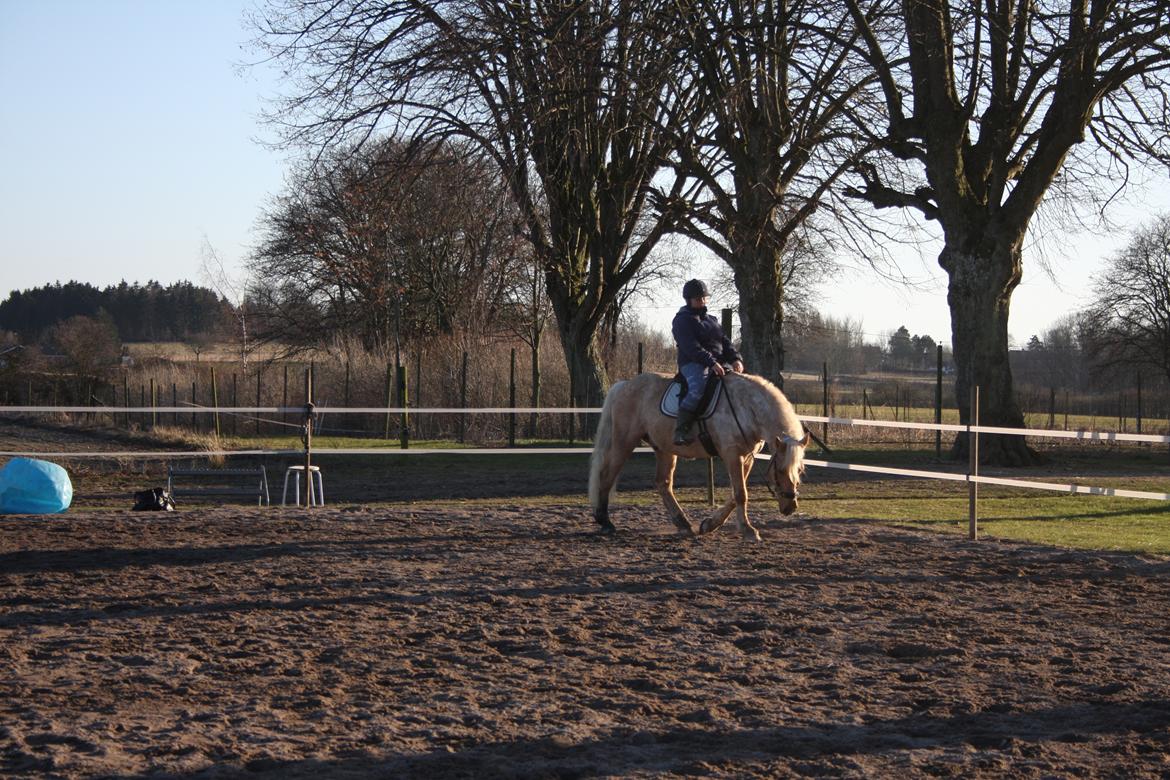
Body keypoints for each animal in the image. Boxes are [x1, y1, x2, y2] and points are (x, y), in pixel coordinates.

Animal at [589, 374, 809, 542]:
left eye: (799, 470)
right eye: (780, 470)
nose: (790, 507)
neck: (747, 408)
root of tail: (624, 385)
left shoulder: (745, 457)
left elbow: (735, 494)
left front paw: (709, 525)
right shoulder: (732, 454)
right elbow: (741, 494)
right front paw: (748, 530)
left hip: (664, 449)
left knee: (663, 483)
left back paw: (683, 523)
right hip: (624, 442)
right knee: (607, 475)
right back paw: (605, 521)